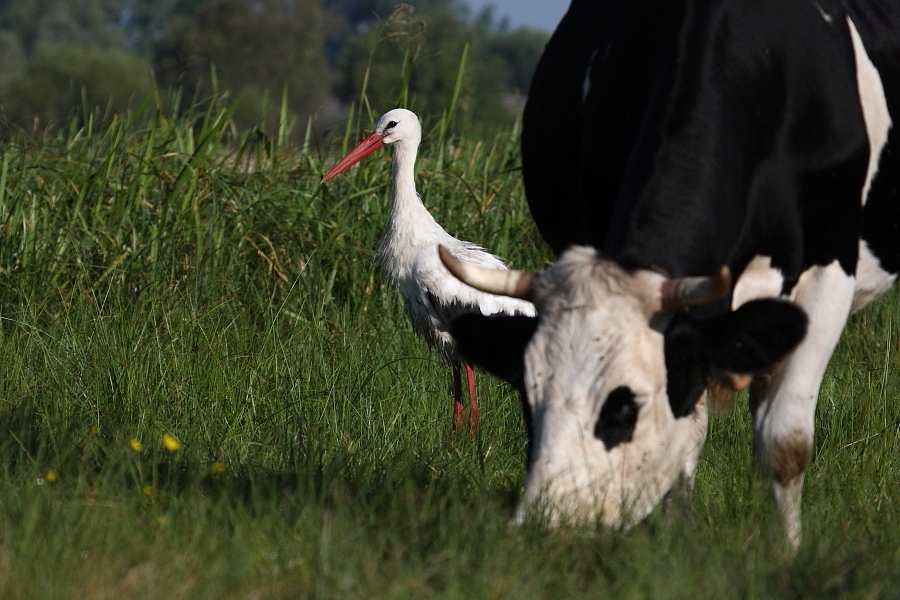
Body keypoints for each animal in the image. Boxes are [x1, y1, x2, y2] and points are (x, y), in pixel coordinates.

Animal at [442, 0, 900, 548]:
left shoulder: (829, 270)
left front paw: (788, 552)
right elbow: (686, 441)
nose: (547, 525)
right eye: (528, 401)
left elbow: (784, 441)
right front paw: (669, 537)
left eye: (625, 407)